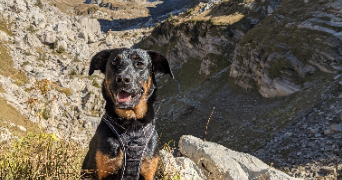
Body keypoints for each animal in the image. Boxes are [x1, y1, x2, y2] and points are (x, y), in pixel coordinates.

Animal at [81, 48, 174, 180]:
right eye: (114, 62)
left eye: (139, 63)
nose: (122, 79)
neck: (132, 125)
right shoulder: (102, 171)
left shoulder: (149, 172)